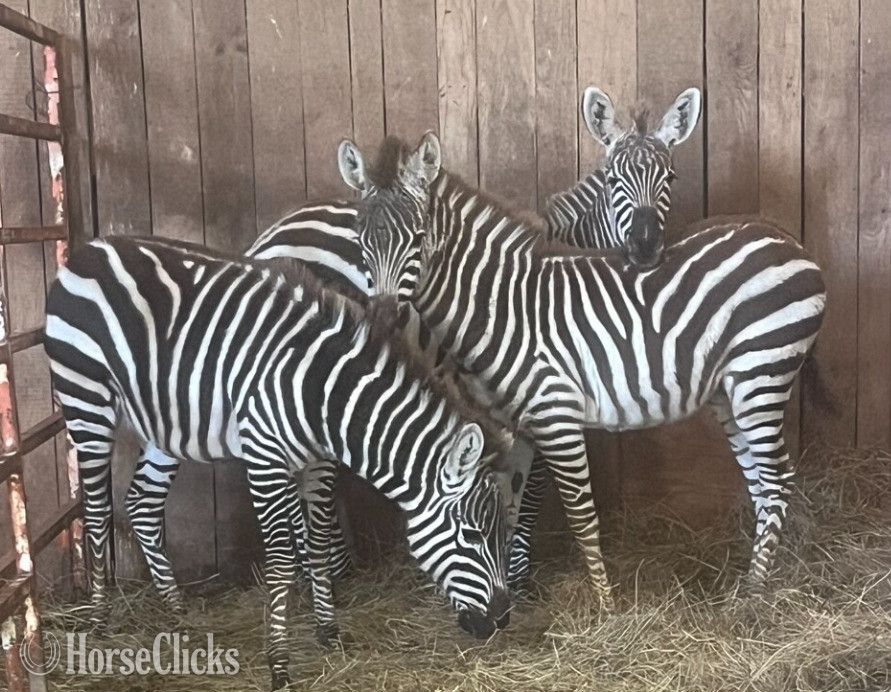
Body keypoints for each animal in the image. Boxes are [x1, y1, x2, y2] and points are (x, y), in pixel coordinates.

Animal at [44, 236, 530, 688]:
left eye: (501, 530)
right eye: (471, 535)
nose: (502, 619)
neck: (326, 398)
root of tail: (91, 248)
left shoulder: (315, 462)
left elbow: (316, 544)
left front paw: (328, 631)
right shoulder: (265, 457)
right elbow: (280, 561)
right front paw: (279, 664)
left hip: (165, 421)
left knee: (144, 505)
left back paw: (177, 611)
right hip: (86, 399)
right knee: (96, 512)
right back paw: (98, 621)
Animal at [336, 132, 827, 605]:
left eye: (418, 238)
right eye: (360, 243)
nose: (384, 318)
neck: (503, 308)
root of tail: (785, 236)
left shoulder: (556, 415)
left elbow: (580, 514)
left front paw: (605, 606)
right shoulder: (514, 424)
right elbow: (507, 509)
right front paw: (510, 593)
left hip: (762, 374)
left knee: (777, 481)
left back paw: (753, 597)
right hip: (730, 390)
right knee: (760, 482)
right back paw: (752, 583)